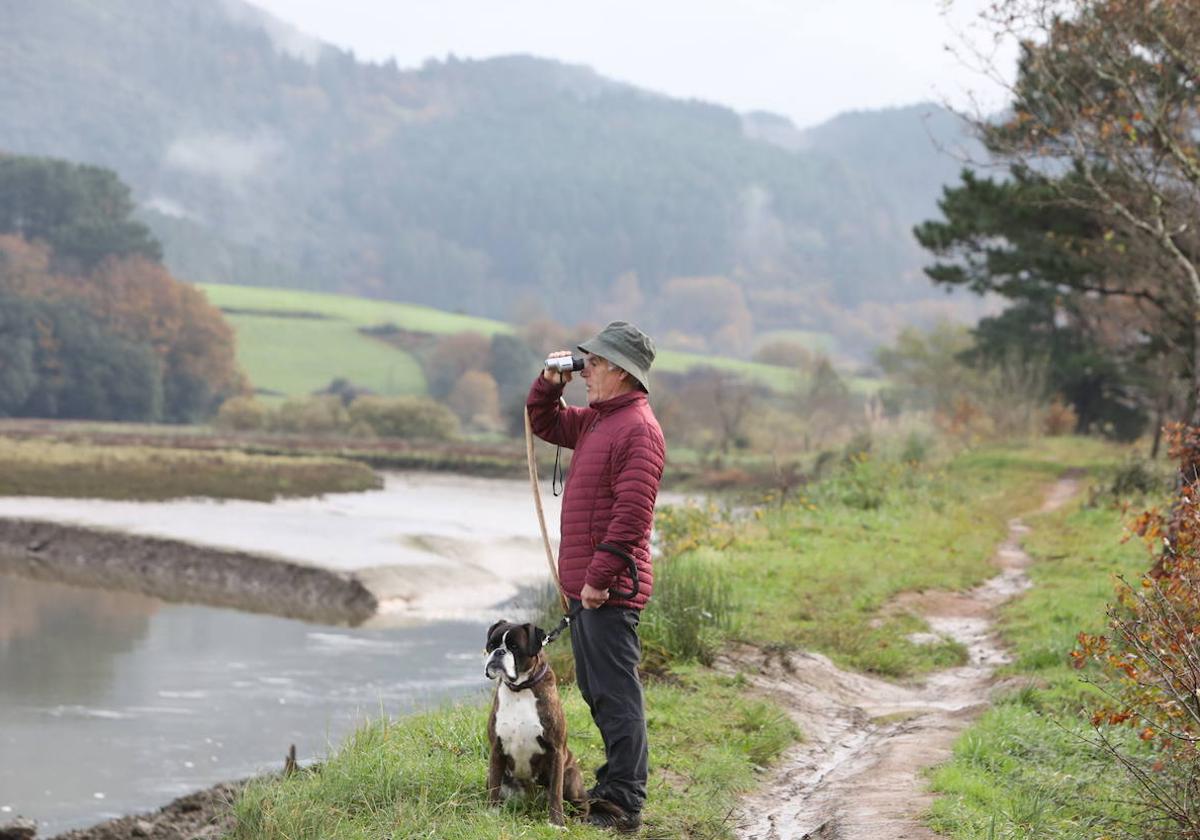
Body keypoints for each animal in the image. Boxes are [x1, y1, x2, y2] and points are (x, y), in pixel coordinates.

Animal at [482, 619, 585, 825]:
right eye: (492, 645)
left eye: (514, 647)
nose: (498, 652)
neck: (520, 689)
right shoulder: (497, 749)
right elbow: (495, 785)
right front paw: (491, 814)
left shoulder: (555, 751)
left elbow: (555, 792)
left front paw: (556, 824)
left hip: (571, 776)